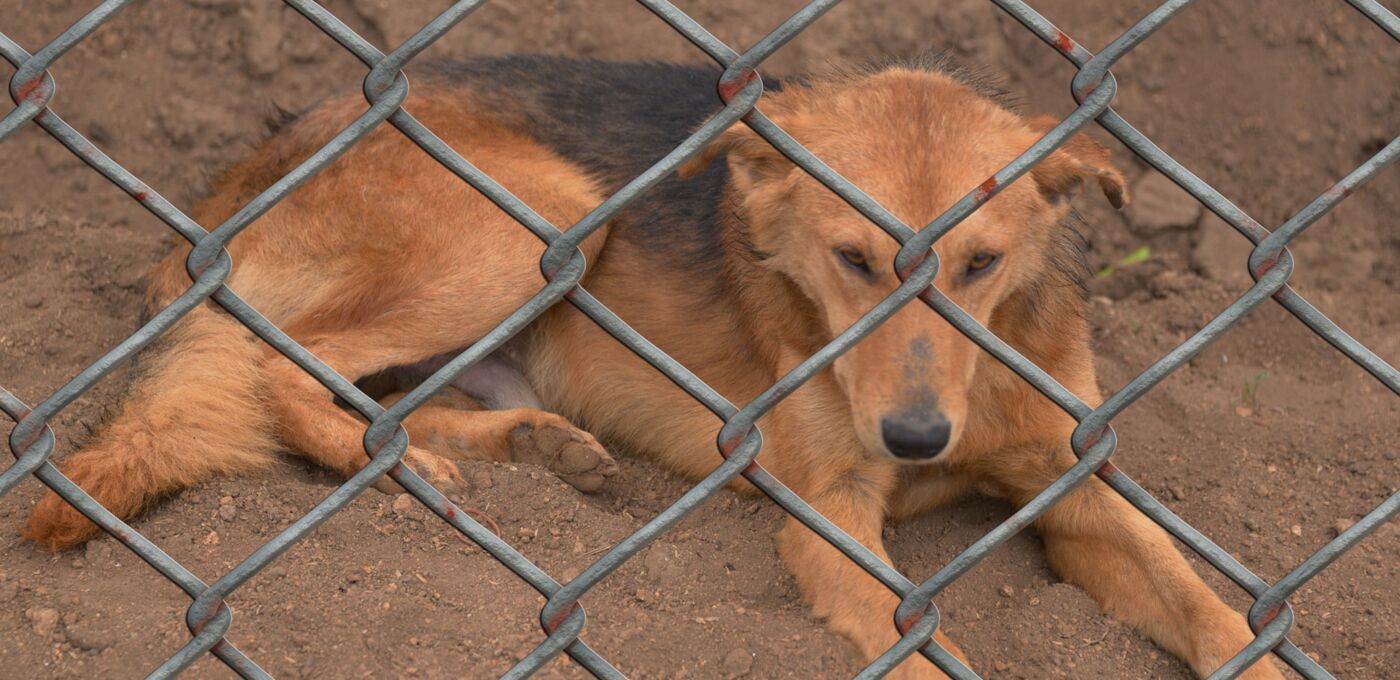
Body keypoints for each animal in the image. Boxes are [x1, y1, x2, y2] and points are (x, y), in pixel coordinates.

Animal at [27, 55, 1282, 677]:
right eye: (850, 259)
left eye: (977, 263)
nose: (916, 437)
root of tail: (229, 190)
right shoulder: (830, 520)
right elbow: (918, 650)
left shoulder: (1075, 498)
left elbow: (1217, 614)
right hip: (541, 220)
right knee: (293, 370)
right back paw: (400, 469)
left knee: (389, 390)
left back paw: (534, 445)